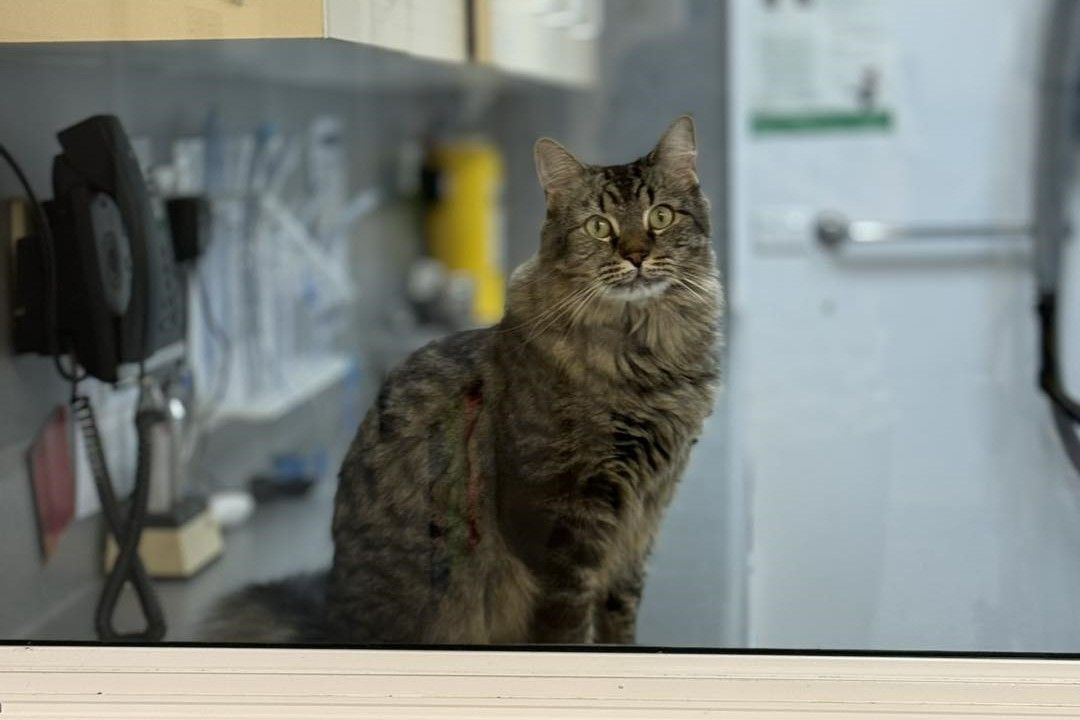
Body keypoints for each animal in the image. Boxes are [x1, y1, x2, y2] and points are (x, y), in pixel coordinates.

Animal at [208, 115, 717, 643]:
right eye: (599, 227)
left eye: (661, 217)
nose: (636, 255)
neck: (647, 352)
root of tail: (331, 622)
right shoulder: (562, 525)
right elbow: (570, 627)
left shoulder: (643, 518)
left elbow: (620, 616)